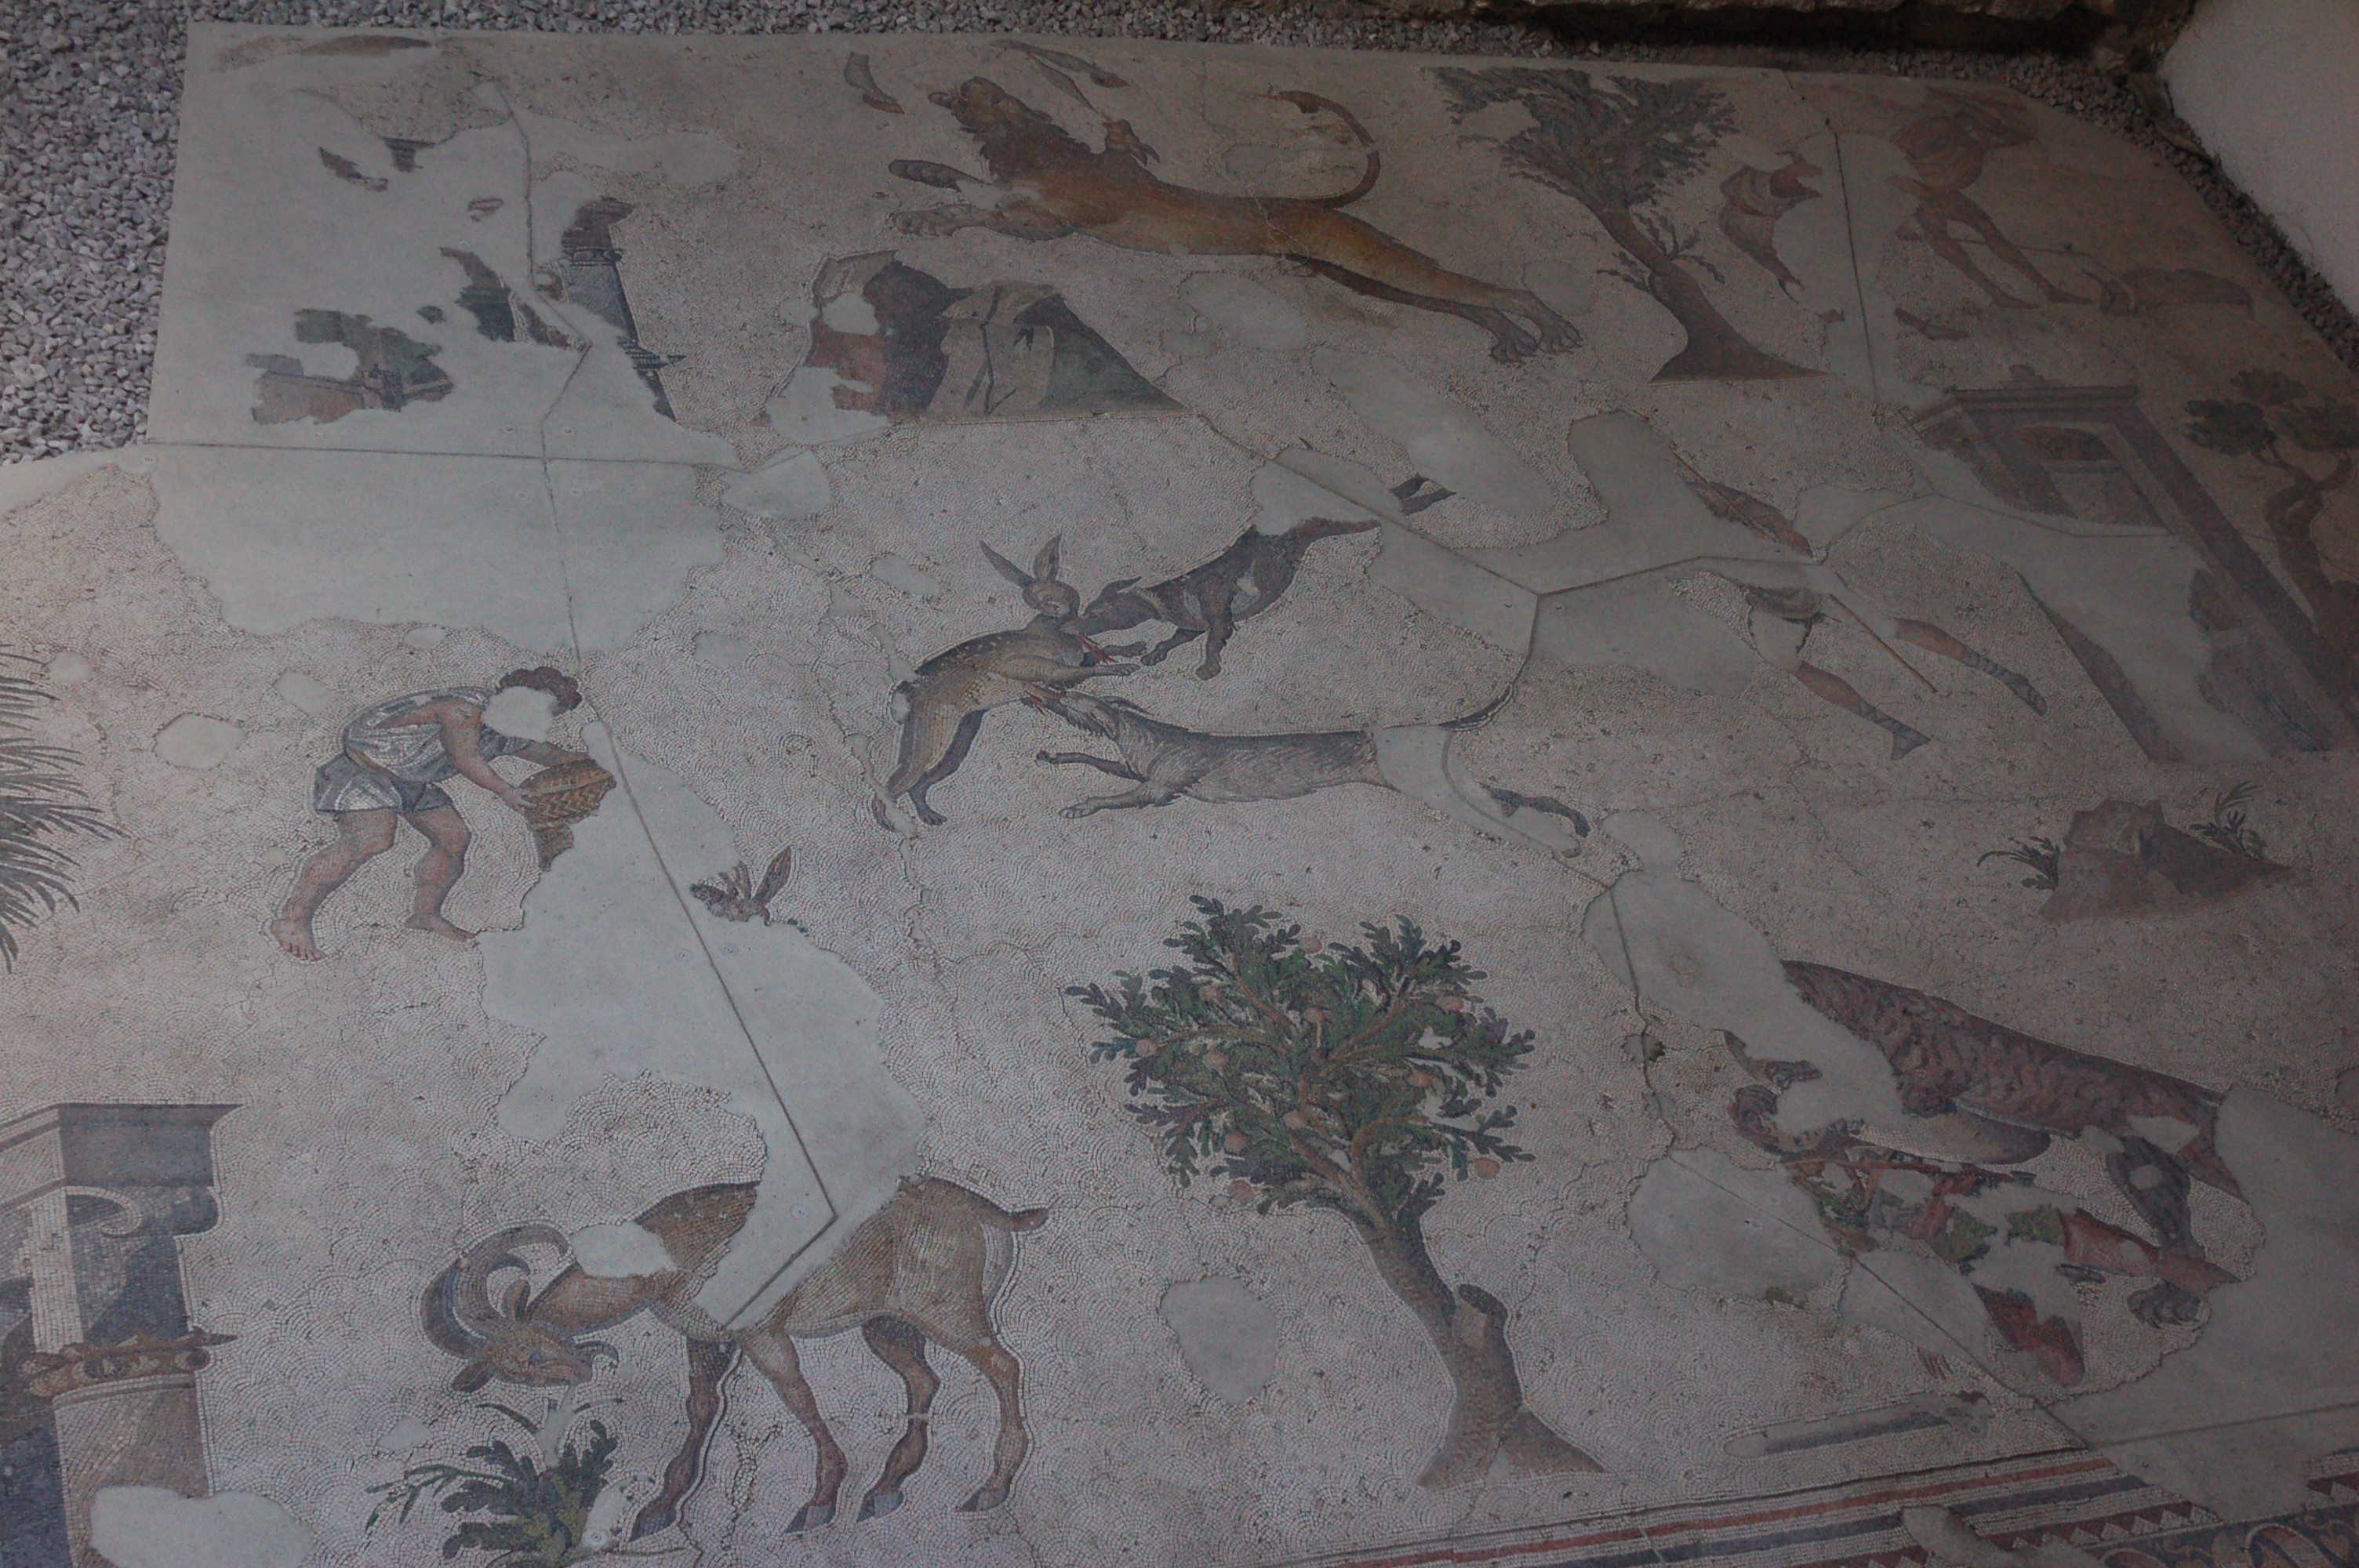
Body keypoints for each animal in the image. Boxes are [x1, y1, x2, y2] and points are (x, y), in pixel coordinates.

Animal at [422, 1176, 1049, 1539]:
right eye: (513, 1367)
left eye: (530, 1352)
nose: (577, 1370)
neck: (669, 1253)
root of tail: (991, 1213)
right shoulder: (708, 1340)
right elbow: (702, 1409)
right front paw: (657, 1510)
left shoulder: (762, 1334)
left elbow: (797, 1396)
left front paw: (819, 1502)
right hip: (889, 1326)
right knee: (924, 1379)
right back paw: (884, 1492)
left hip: (948, 1311)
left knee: (1004, 1366)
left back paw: (992, 1486)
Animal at [888, 79, 1577, 365]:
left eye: (972, 95)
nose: (957, 87)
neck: (1034, 149)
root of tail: (1311, 205)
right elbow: (966, 182)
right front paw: (918, 169)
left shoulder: (1054, 219)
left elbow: (979, 205)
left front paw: (927, 213)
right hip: (1349, 271)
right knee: (1463, 302)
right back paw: (1511, 336)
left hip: (1369, 257)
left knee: (1494, 290)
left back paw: (1548, 324)